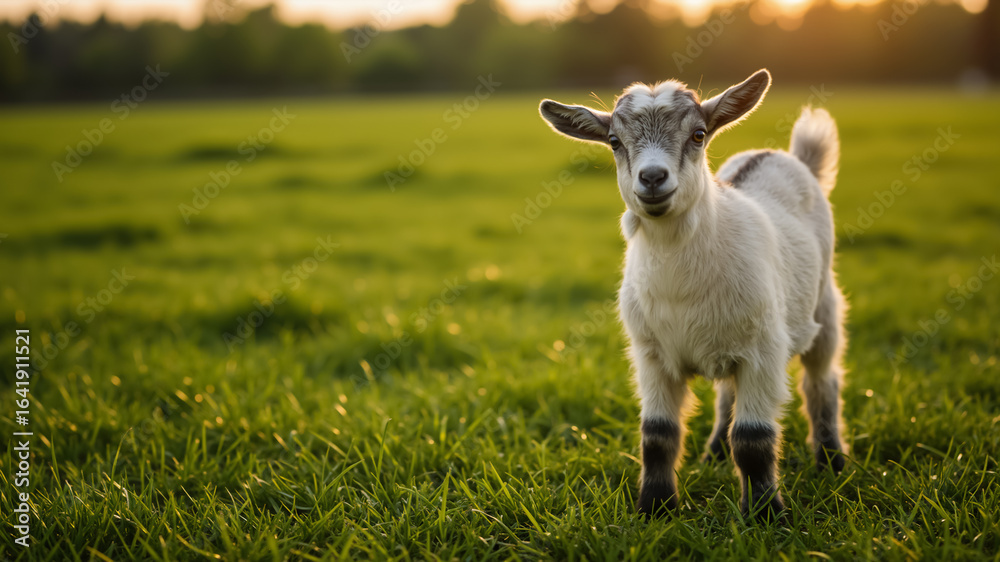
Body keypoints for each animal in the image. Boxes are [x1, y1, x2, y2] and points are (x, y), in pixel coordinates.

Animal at [538, 69, 847, 519]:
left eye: (698, 135)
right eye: (614, 141)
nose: (652, 178)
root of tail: (784, 155)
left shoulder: (764, 351)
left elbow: (753, 441)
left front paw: (766, 514)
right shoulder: (650, 354)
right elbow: (657, 435)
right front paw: (655, 507)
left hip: (823, 306)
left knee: (822, 380)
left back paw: (831, 459)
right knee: (726, 394)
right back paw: (715, 452)